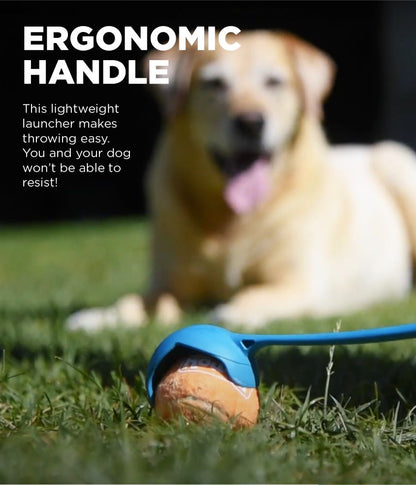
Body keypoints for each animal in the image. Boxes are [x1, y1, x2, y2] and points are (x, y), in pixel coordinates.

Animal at [66, 30, 414, 330]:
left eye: (274, 82)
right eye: (214, 83)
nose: (250, 122)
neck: (231, 222)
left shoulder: (298, 283)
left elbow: (256, 295)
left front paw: (234, 311)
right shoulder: (168, 284)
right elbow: (133, 301)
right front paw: (100, 316)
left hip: (395, 164)